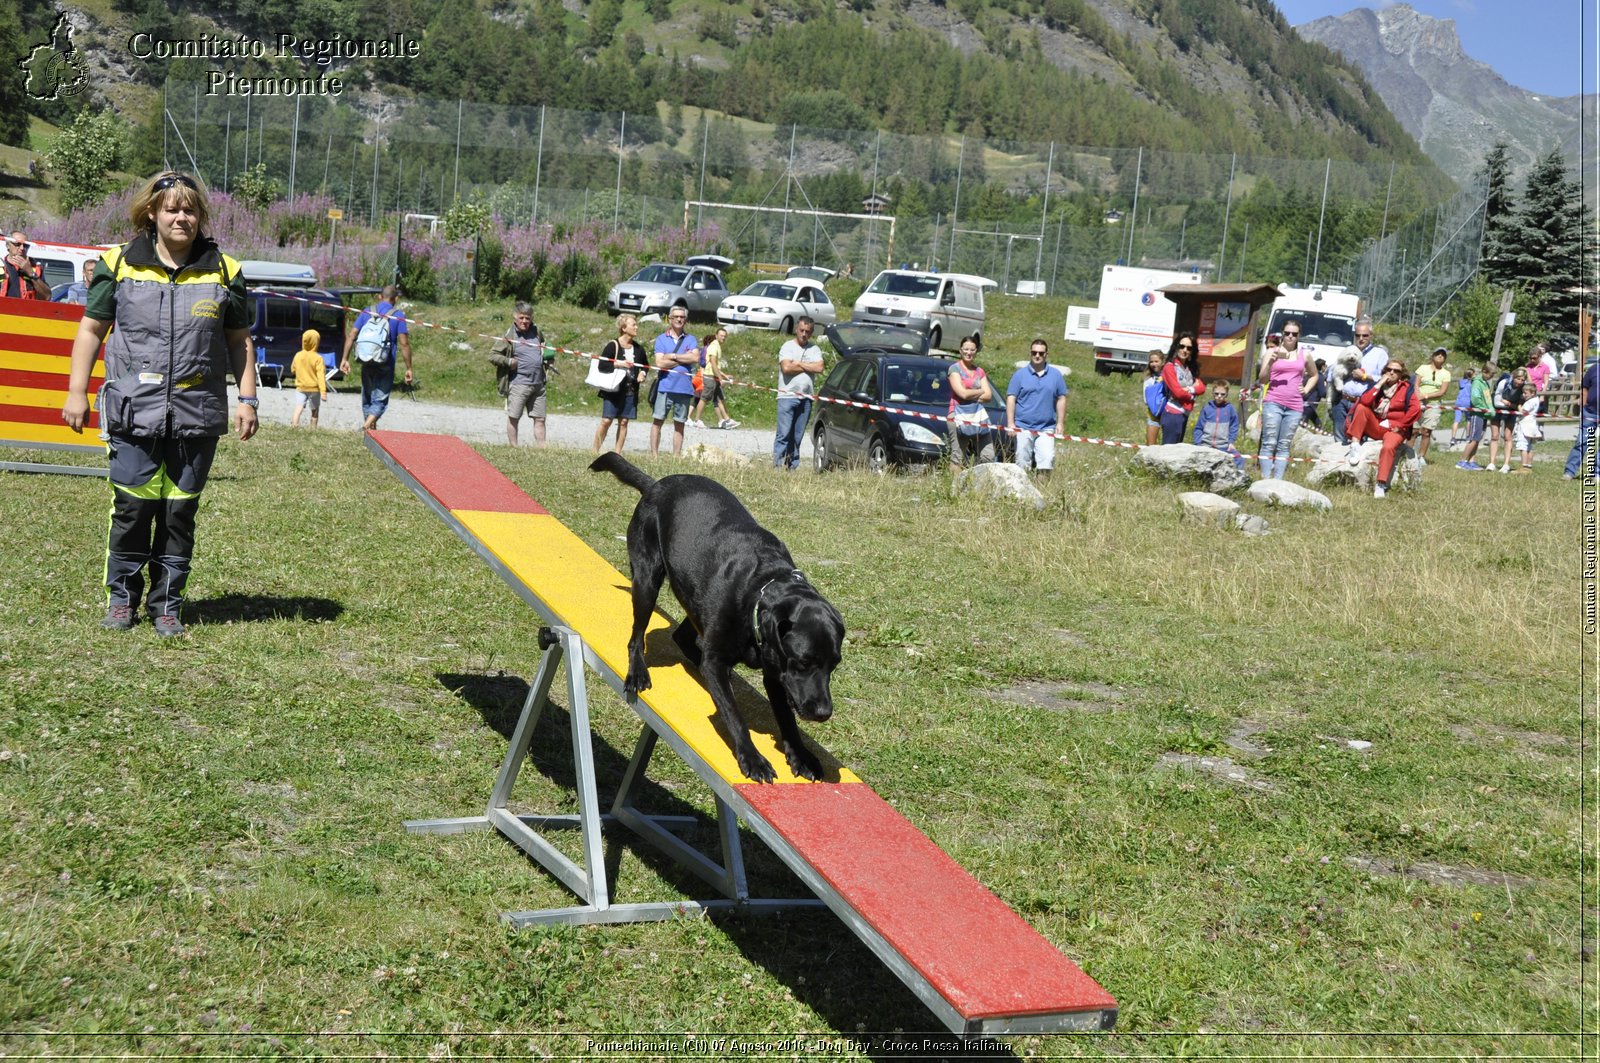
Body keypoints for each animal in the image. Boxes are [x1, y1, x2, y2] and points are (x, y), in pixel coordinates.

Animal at [592, 448, 851, 781]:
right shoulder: (720, 661)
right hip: (647, 580)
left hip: (693, 595)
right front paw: (752, 758)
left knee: (683, 636)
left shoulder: (775, 671)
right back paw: (638, 671)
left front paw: (801, 755)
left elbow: (787, 720)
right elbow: (734, 715)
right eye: (804, 662)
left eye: (834, 665)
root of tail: (655, 485)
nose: (823, 713)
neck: (762, 589)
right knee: (637, 636)